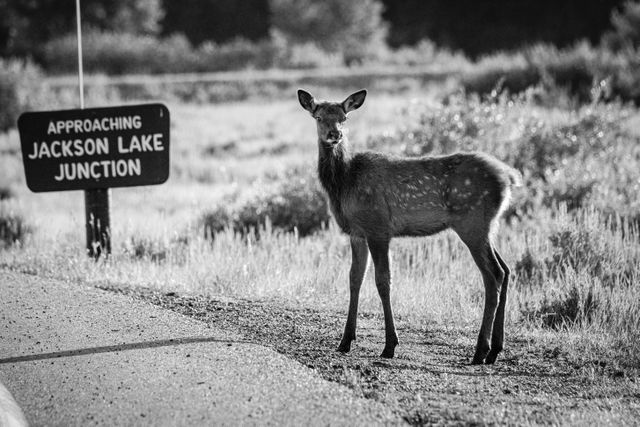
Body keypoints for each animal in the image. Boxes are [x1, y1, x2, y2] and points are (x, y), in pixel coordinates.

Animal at [298, 89, 524, 364]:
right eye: (319, 117)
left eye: (344, 117)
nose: (335, 134)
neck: (344, 183)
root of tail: (509, 177)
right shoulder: (357, 233)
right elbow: (354, 278)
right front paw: (345, 341)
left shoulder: (378, 226)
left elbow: (383, 281)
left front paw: (390, 345)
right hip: (487, 226)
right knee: (506, 269)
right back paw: (495, 349)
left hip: (472, 222)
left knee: (493, 275)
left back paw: (481, 350)